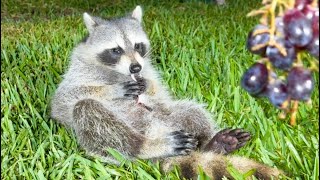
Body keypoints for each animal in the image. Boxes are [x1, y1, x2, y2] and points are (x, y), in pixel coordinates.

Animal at [51, 5, 284, 179]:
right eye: (116, 50)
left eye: (138, 45)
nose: (135, 68)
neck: (120, 72)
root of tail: (155, 130)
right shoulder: (78, 70)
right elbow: (64, 99)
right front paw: (111, 90)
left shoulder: (148, 72)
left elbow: (158, 93)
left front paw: (145, 86)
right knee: (90, 113)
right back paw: (145, 146)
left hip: (166, 117)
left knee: (188, 110)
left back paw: (211, 144)